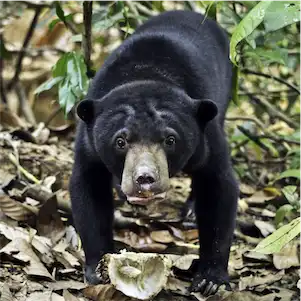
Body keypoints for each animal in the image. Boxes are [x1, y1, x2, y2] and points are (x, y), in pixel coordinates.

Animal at [69, 9, 238, 296]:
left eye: (170, 140)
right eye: (120, 141)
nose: (145, 178)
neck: (146, 75)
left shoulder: (207, 139)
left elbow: (219, 187)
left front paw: (211, 279)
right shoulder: (89, 143)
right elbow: (88, 189)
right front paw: (99, 267)